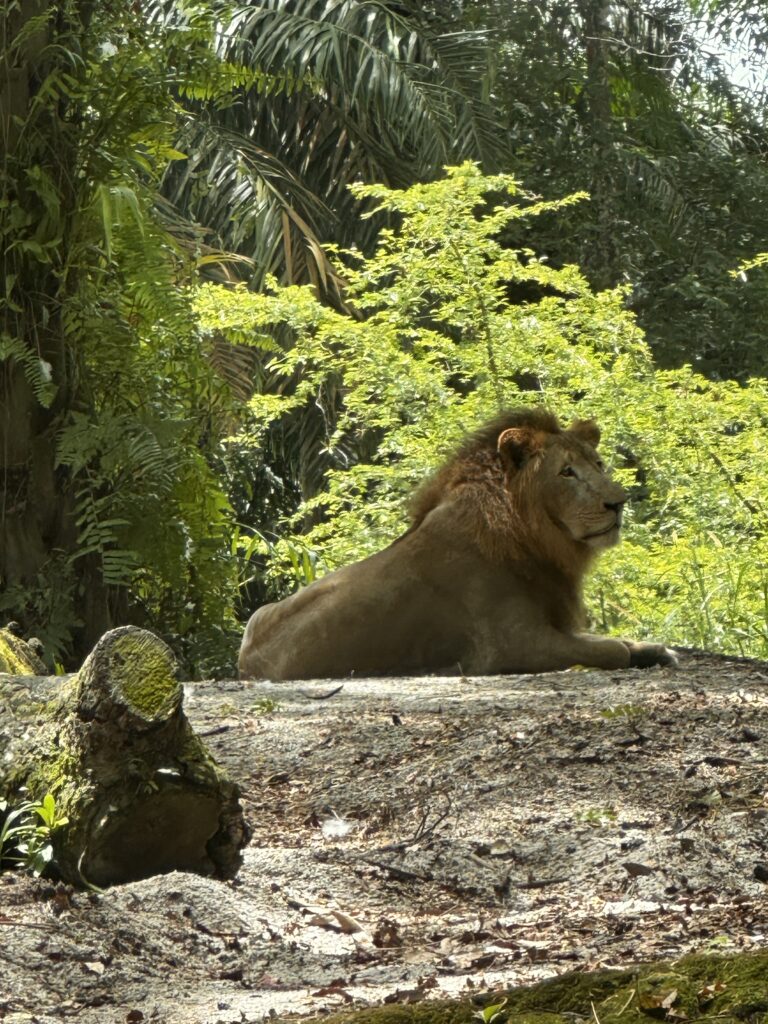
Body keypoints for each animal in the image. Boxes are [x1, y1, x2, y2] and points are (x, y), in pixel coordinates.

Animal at [239, 409, 676, 680]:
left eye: (598, 465)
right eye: (566, 472)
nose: (619, 502)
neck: (536, 539)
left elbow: (619, 642)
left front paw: (655, 650)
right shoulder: (510, 644)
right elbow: (612, 650)